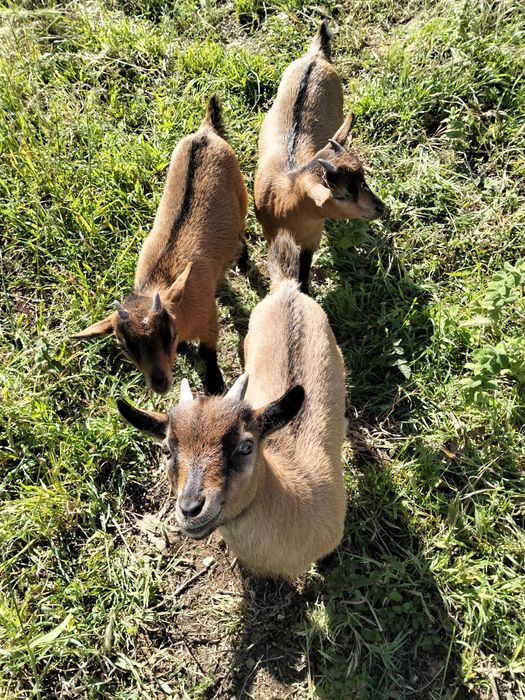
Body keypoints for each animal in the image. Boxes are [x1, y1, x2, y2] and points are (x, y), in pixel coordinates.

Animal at [74, 96, 248, 395]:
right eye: (126, 347)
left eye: (168, 334)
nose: (159, 383)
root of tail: (205, 133)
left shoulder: (209, 319)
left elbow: (208, 352)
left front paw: (214, 383)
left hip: (242, 198)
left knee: (243, 233)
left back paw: (245, 263)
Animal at [254, 20, 385, 294]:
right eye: (342, 194)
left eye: (364, 180)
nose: (380, 208)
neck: (285, 200)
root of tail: (316, 57)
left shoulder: (313, 237)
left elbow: (304, 271)